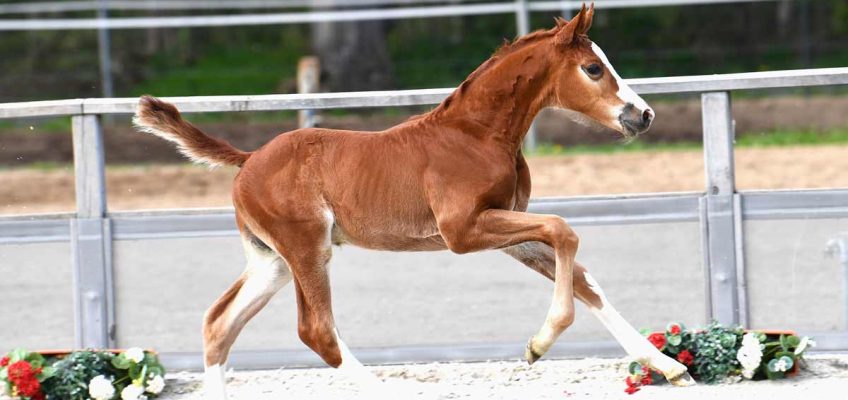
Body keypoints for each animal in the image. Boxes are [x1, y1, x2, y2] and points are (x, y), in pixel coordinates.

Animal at [131, 4, 688, 398]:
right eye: (593, 68)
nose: (643, 115)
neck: (476, 134)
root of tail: (248, 159)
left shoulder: (506, 228)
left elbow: (584, 278)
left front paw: (668, 366)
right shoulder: (463, 231)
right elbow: (564, 230)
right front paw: (537, 345)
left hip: (272, 260)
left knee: (219, 324)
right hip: (307, 248)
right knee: (317, 330)